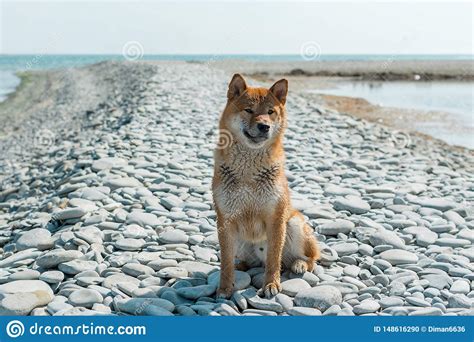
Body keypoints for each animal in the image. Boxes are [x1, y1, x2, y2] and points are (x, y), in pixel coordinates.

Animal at [213, 73, 320, 298]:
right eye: (249, 110)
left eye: (270, 112)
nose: (264, 126)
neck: (248, 170)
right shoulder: (225, 220)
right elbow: (225, 262)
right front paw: (225, 288)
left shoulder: (276, 218)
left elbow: (273, 259)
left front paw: (271, 284)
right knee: (248, 261)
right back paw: (241, 265)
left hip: (294, 224)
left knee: (310, 258)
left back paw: (299, 265)